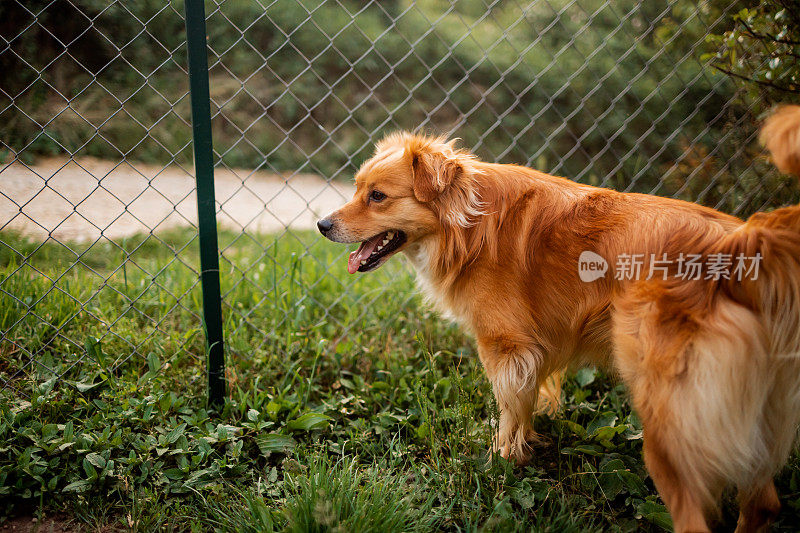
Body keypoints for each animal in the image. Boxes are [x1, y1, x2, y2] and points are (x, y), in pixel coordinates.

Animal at [318, 105, 800, 532]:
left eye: (377, 197)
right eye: (357, 189)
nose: (322, 225)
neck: (467, 226)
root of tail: (741, 248)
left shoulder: (506, 347)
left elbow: (509, 411)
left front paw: (500, 463)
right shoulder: (534, 350)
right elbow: (526, 403)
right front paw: (523, 449)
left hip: (669, 416)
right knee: (763, 504)